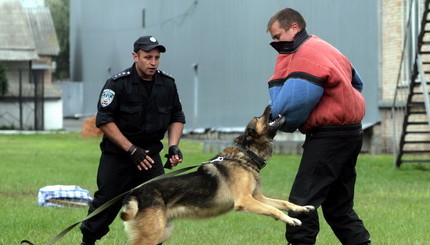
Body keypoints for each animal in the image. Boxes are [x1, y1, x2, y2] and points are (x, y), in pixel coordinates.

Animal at [119, 106, 314, 245]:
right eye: (259, 118)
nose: (270, 105)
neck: (246, 155)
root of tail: (135, 193)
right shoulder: (245, 200)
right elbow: (275, 209)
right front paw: (291, 220)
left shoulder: (258, 197)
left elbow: (283, 203)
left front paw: (301, 208)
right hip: (151, 236)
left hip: (163, 232)